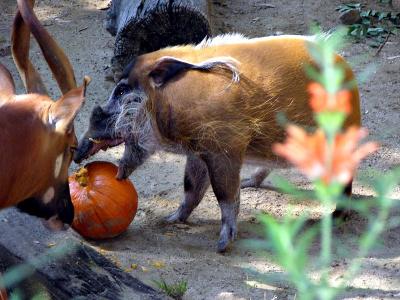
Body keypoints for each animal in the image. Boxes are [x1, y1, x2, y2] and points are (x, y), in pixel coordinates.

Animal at [73, 34, 360, 252]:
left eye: (122, 90)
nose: (77, 154)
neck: (171, 101)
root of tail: (346, 69)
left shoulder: (224, 150)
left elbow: (225, 195)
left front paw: (222, 246)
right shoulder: (198, 152)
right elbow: (191, 189)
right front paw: (169, 220)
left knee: (346, 175)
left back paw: (336, 218)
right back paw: (251, 183)